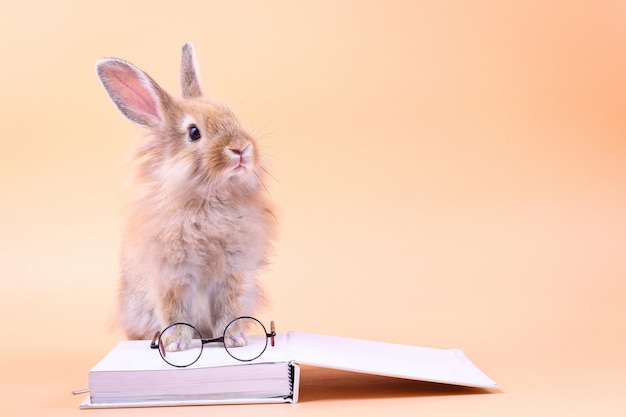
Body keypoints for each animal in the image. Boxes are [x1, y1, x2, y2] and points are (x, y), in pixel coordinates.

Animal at [95, 42, 276, 350]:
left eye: (231, 115)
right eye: (194, 133)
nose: (241, 149)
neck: (208, 198)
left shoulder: (233, 275)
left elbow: (229, 310)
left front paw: (234, 340)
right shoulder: (171, 279)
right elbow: (175, 312)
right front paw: (176, 345)